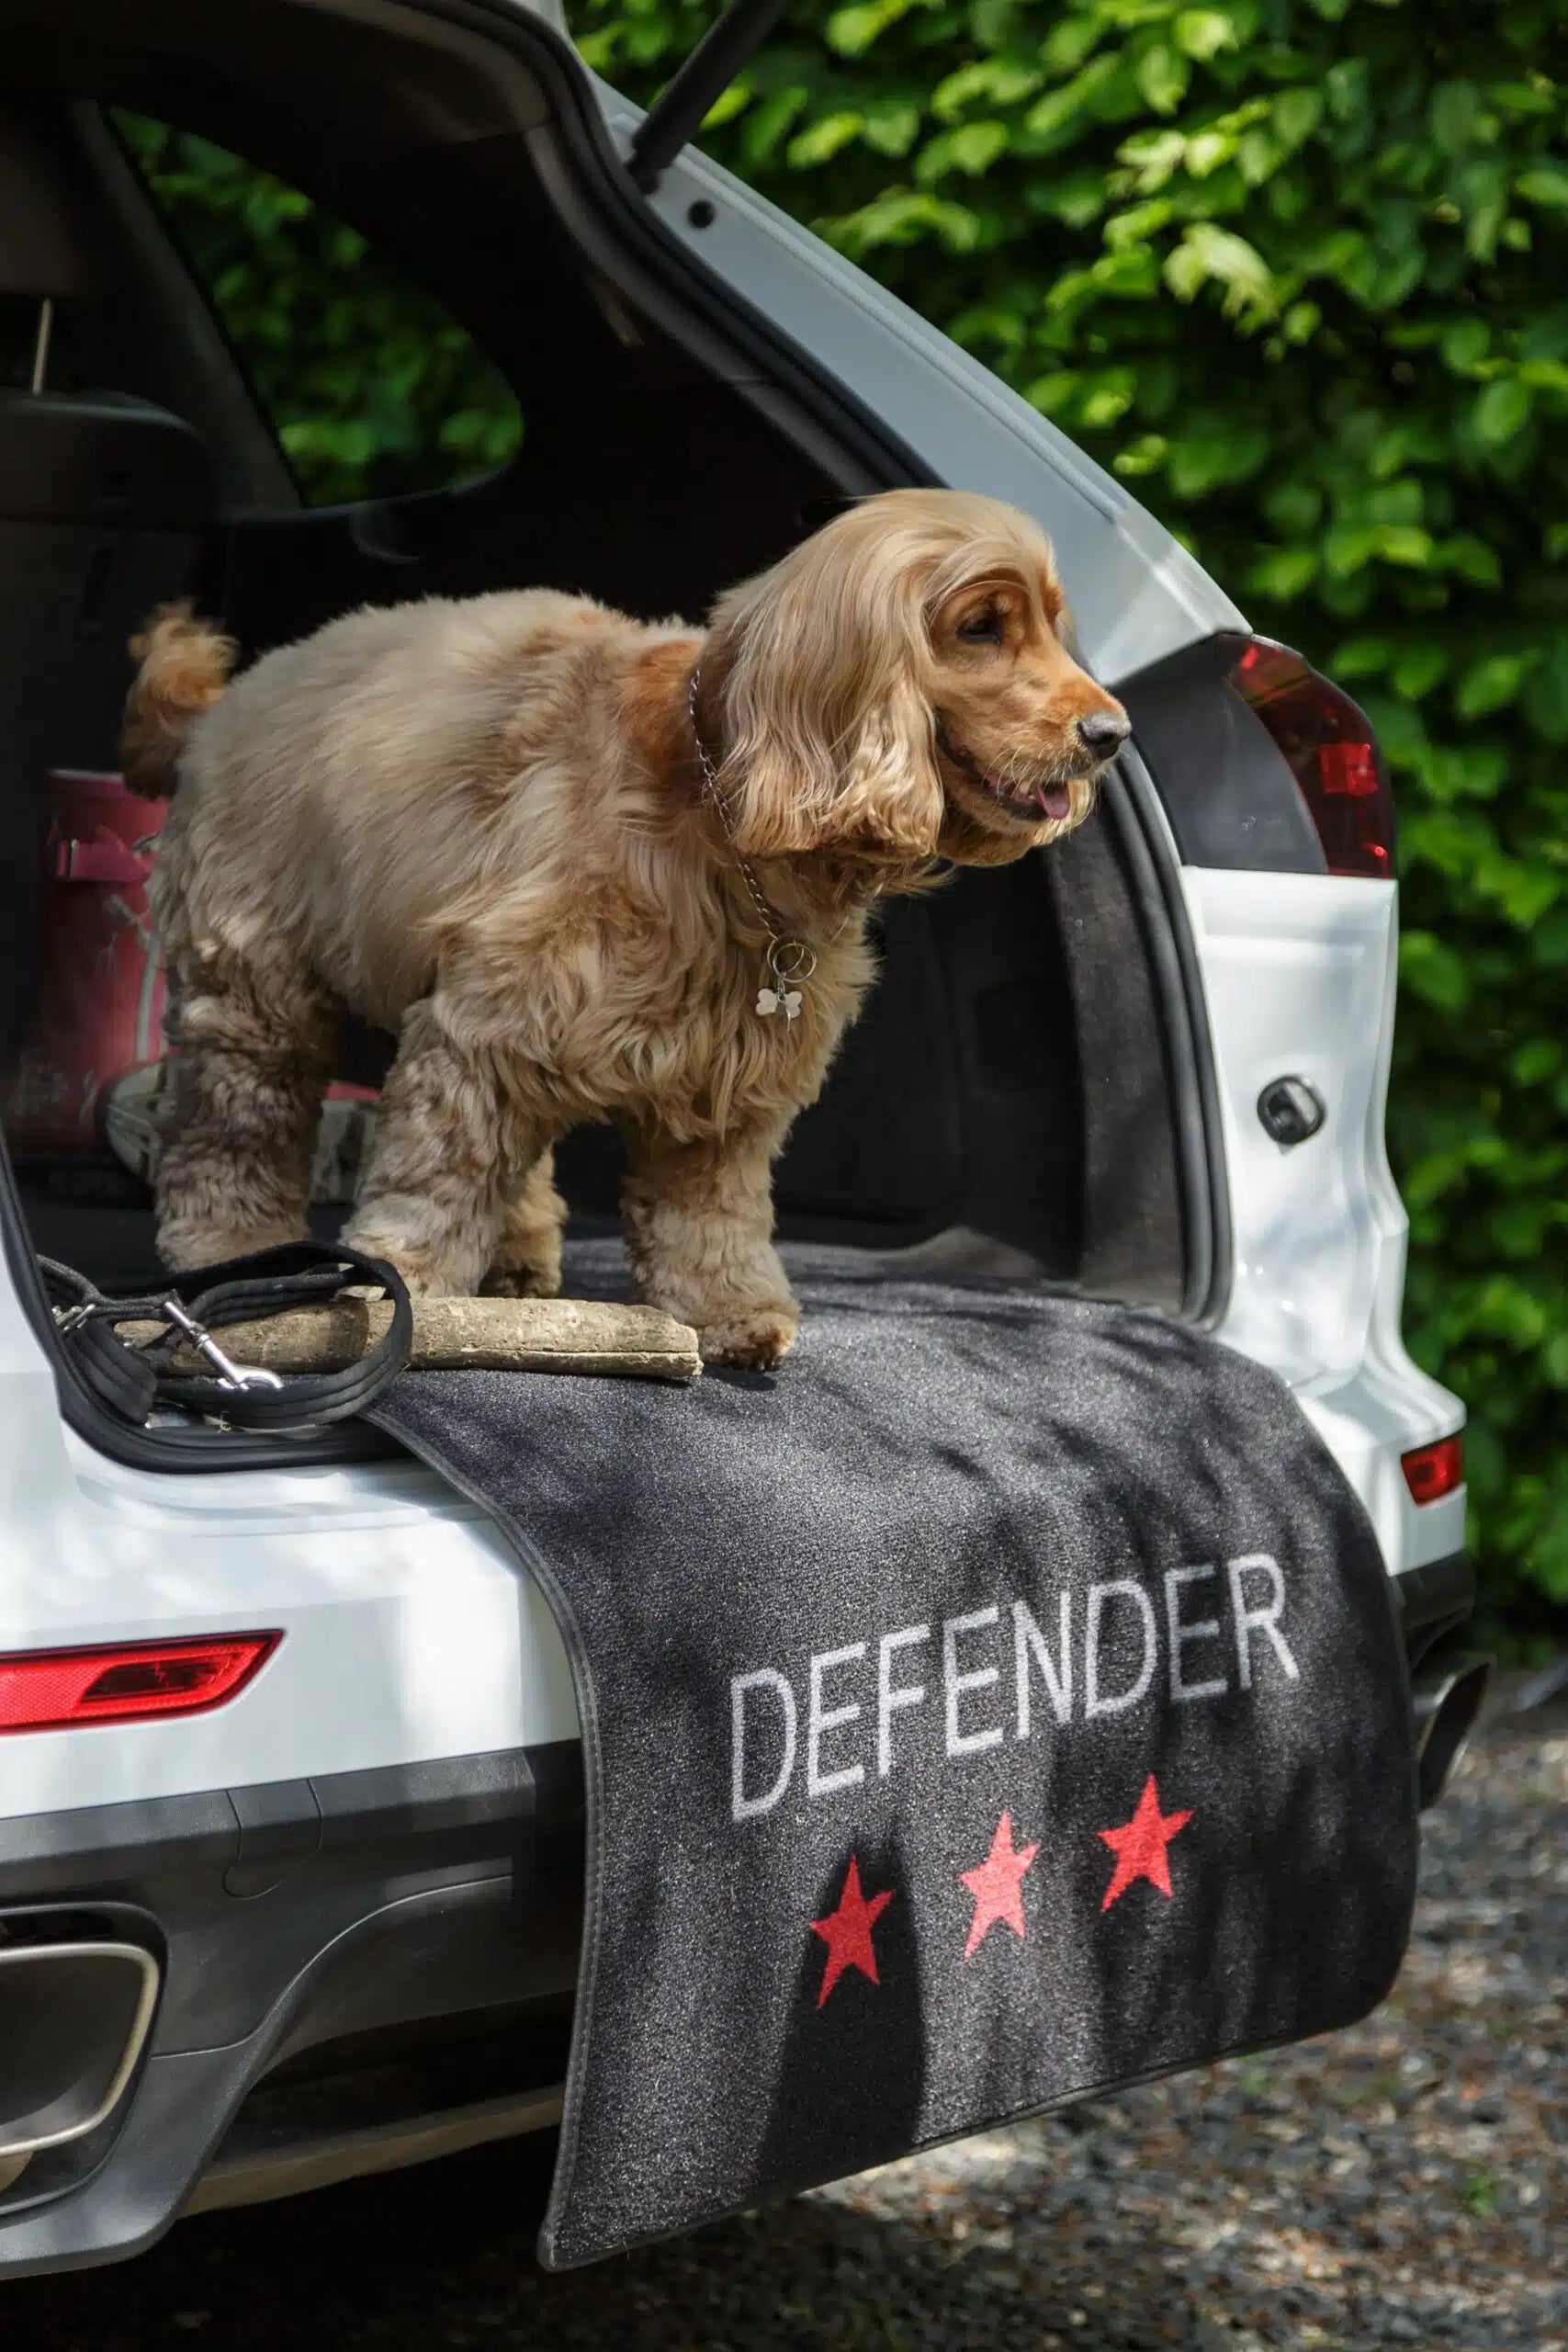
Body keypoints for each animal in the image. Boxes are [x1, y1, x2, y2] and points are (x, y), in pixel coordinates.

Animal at [122, 493, 1128, 1374]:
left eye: (1050, 624)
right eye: (980, 628)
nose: (1111, 732)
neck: (726, 810)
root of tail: (226, 700)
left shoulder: (727, 1075)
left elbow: (708, 1213)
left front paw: (729, 1313)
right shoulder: (484, 1024)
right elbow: (439, 1175)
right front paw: (402, 1285)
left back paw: (518, 1260)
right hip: (255, 981)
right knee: (235, 1120)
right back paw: (234, 1239)